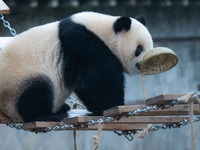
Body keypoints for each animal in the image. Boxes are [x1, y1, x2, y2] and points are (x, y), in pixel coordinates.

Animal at [0, 12, 152, 123]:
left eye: (150, 47)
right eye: (139, 49)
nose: (144, 64)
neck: (103, 31)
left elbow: (86, 87)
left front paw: (99, 109)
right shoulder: (83, 44)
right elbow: (102, 79)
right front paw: (115, 105)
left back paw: (62, 107)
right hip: (19, 80)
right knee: (35, 93)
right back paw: (46, 115)